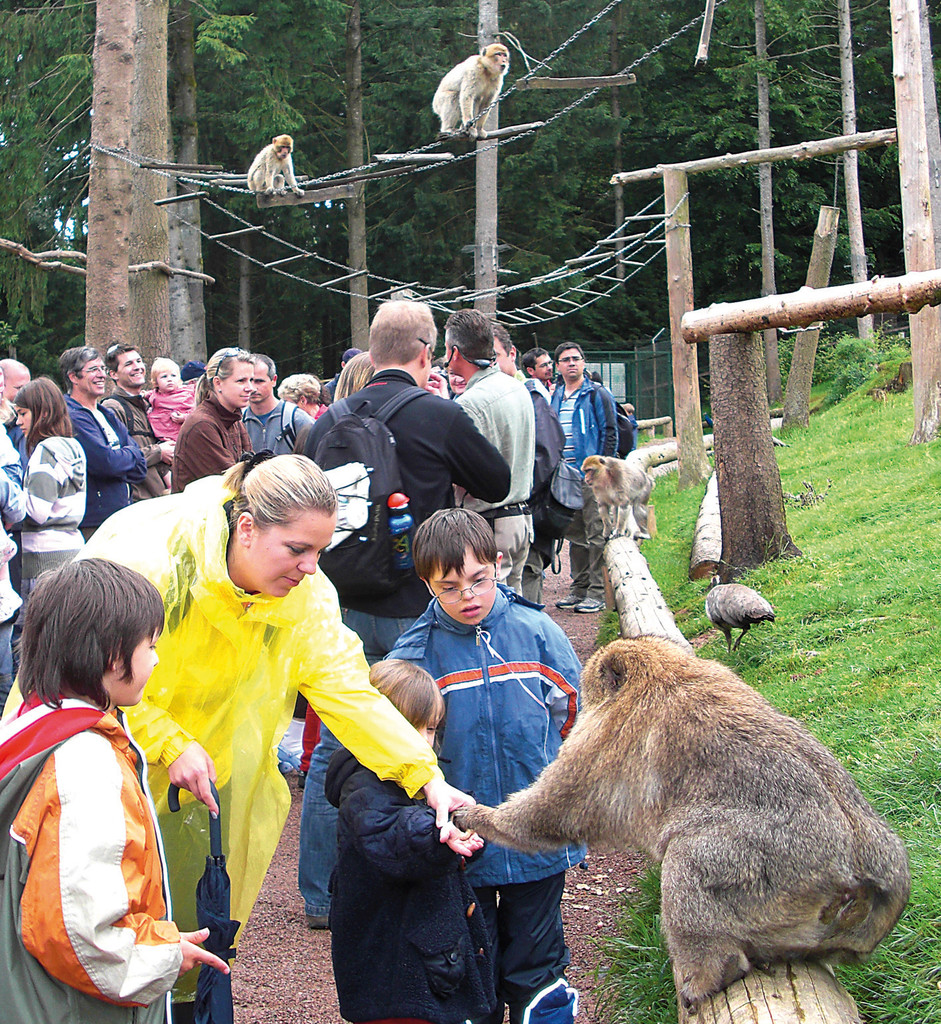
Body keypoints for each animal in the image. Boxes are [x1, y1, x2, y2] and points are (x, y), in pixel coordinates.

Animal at [455, 637, 910, 1010]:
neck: (664, 668)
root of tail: (871, 870)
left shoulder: (602, 740)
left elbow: (553, 810)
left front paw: (481, 816)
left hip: (779, 871)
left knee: (689, 864)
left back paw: (710, 973)